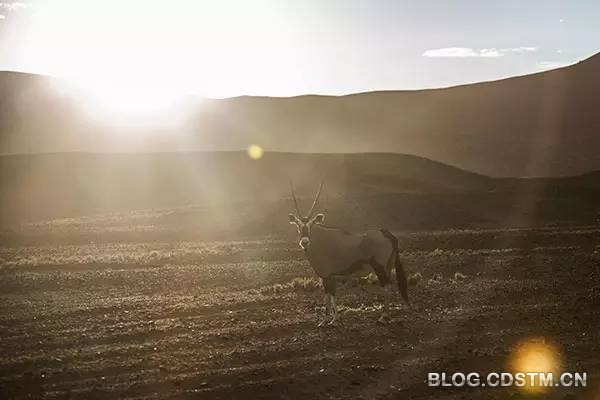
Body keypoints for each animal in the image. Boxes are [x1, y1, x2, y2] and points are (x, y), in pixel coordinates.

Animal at [288, 182, 409, 326]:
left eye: (311, 225)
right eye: (298, 225)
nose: (304, 242)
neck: (319, 239)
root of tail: (387, 234)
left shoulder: (326, 276)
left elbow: (328, 297)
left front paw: (325, 321)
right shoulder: (331, 276)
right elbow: (333, 296)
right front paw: (334, 319)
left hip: (379, 267)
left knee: (387, 287)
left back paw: (383, 317)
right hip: (388, 267)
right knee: (389, 286)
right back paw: (387, 316)